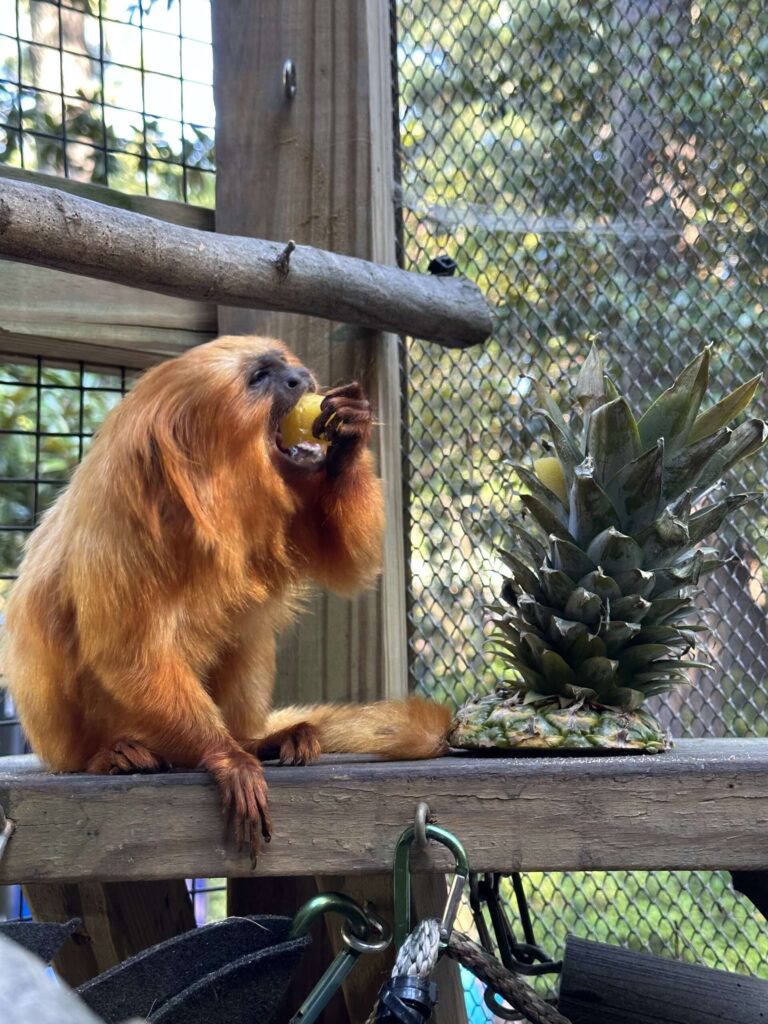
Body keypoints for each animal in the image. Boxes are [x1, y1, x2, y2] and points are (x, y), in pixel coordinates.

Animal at [3, 335, 452, 862]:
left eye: (285, 365)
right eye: (260, 378)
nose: (300, 377)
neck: (212, 489)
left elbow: (349, 563)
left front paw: (350, 435)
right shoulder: (119, 519)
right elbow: (126, 654)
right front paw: (226, 755)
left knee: (247, 632)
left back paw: (258, 740)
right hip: (59, 738)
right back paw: (113, 754)